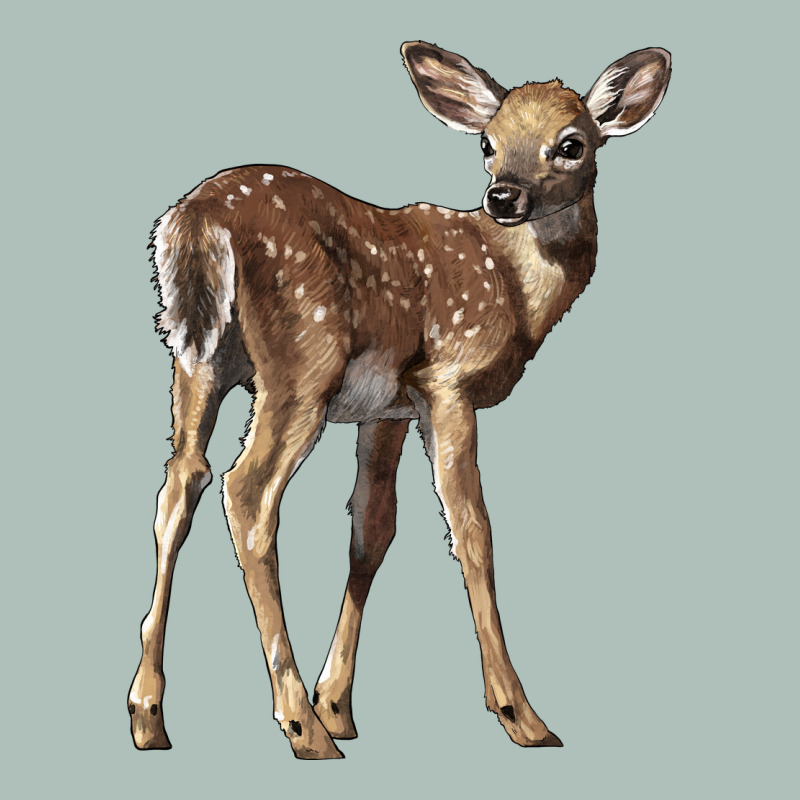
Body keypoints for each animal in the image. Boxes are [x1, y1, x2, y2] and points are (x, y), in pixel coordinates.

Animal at [128, 41, 671, 759]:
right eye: (487, 143)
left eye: (571, 144)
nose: (503, 196)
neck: (515, 290)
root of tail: (196, 219)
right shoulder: (448, 380)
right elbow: (473, 531)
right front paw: (520, 716)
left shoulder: (387, 407)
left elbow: (371, 530)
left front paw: (338, 705)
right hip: (302, 360)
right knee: (246, 491)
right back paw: (299, 729)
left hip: (196, 357)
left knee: (180, 482)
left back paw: (149, 715)